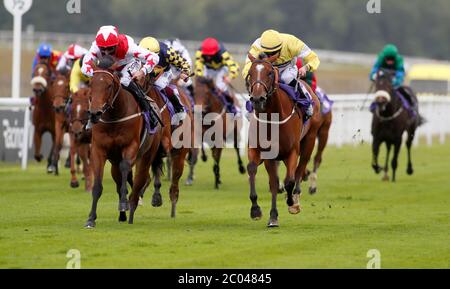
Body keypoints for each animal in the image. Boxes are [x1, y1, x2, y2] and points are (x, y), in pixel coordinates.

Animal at [84, 56, 162, 227]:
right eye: (91, 84)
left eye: (109, 85)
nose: (94, 113)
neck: (114, 117)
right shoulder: (98, 150)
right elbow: (98, 186)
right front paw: (91, 218)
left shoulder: (130, 147)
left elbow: (126, 171)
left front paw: (124, 203)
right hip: (114, 161)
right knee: (121, 179)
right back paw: (122, 215)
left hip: (146, 155)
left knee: (140, 181)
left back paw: (131, 209)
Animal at [244, 53, 322, 226]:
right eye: (250, 73)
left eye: (269, 73)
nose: (257, 99)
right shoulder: (265, 152)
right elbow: (267, 179)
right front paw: (261, 212)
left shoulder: (292, 151)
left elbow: (289, 180)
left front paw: (291, 202)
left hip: (309, 140)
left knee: (300, 169)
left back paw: (295, 198)